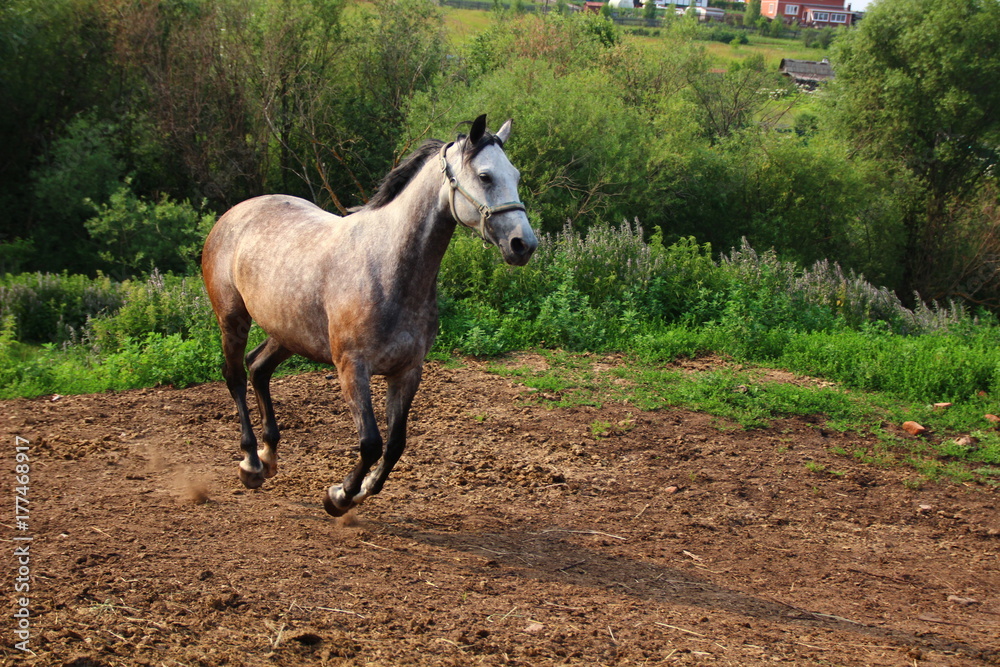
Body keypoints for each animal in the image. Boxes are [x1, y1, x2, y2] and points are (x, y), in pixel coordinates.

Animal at [201, 115, 538, 517]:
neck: (386, 269)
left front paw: (360, 492)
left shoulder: (407, 371)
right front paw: (338, 496)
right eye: (485, 176)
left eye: (515, 176)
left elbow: (395, 444)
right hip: (233, 319)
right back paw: (251, 463)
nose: (524, 244)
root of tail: (233, 215)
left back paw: (269, 457)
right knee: (235, 375)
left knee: (258, 368)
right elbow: (371, 442)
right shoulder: (352, 368)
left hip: (290, 332)